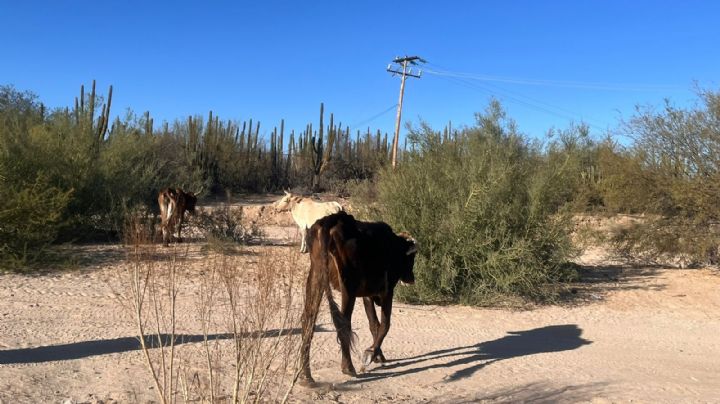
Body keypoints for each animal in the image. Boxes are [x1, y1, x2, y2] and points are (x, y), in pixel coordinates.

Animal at [298, 211, 420, 386]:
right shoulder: (387, 292)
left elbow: (374, 324)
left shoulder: (367, 296)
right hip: (347, 288)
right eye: (411, 258)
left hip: (316, 277)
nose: (411, 278)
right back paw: (348, 367)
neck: (393, 246)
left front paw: (378, 355)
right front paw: (371, 353)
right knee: (343, 323)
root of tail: (333, 220)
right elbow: (385, 325)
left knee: (308, 320)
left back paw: (306, 375)